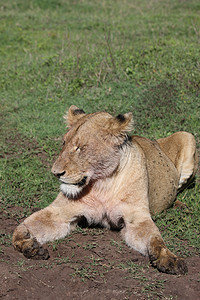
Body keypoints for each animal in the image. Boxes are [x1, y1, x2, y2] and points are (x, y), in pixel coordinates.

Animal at [12, 105, 198, 274]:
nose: (55, 173)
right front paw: (29, 244)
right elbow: (21, 228)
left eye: (80, 147)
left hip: (188, 136)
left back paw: (179, 206)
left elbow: (155, 239)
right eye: (63, 143)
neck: (102, 185)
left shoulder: (136, 218)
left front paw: (169, 259)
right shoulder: (60, 212)